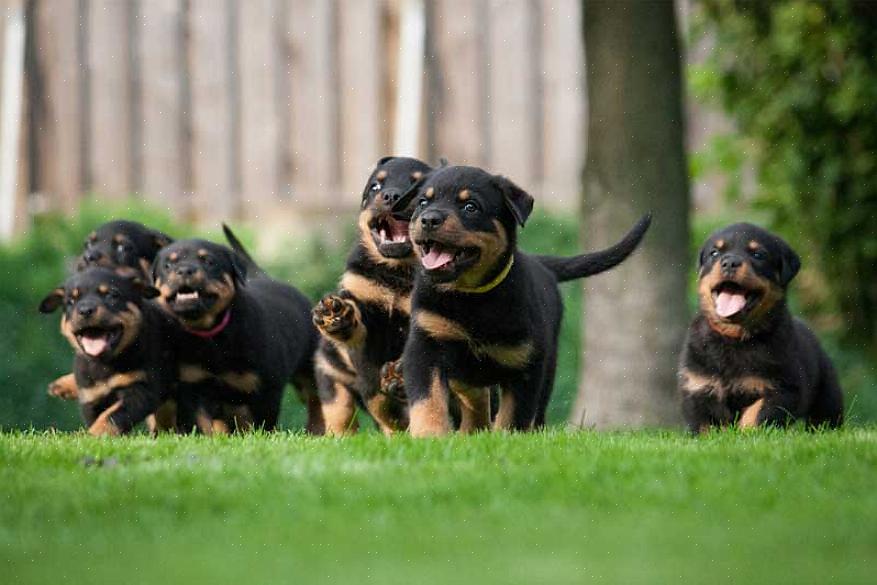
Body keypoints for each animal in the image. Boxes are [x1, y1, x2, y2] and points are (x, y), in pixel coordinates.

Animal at [39, 266, 176, 436]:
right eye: (71, 301)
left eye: (112, 295)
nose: (85, 310)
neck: (105, 364)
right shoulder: (91, 395)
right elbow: (101, 415)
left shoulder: (141, 389)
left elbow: (111, 416)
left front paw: (92, 435)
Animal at [153, 237, 318, 434]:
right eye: (168, 265)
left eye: (209, 261)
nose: (185, 270)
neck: (210, 333)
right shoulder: (196, 387)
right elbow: (209, 423)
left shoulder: (266, 389)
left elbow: (262, 425)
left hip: (308, 370)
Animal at [310, 155, 432, 434]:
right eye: (375, 187)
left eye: (417, 188)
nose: (391, 196)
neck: (396, 271)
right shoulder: (365, 309)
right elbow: (374, 392)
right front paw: (337, 316)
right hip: (330, 369)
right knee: (340, 412)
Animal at [676, 221, 840, 432]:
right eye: (715, 253)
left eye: (758, 255)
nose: (730, 262)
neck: (734, 338)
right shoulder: (697, 387)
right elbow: (706, 426)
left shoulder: (783, 388)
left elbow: (756, 414)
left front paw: (746, 435)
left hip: (827, 396)